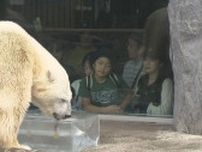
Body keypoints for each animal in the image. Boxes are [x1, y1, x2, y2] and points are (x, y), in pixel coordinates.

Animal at [0, 21, 72, 150]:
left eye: (70, 98)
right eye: (62, 99)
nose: (67, 115)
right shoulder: (14, 56)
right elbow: (12, 103)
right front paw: (18, 145)